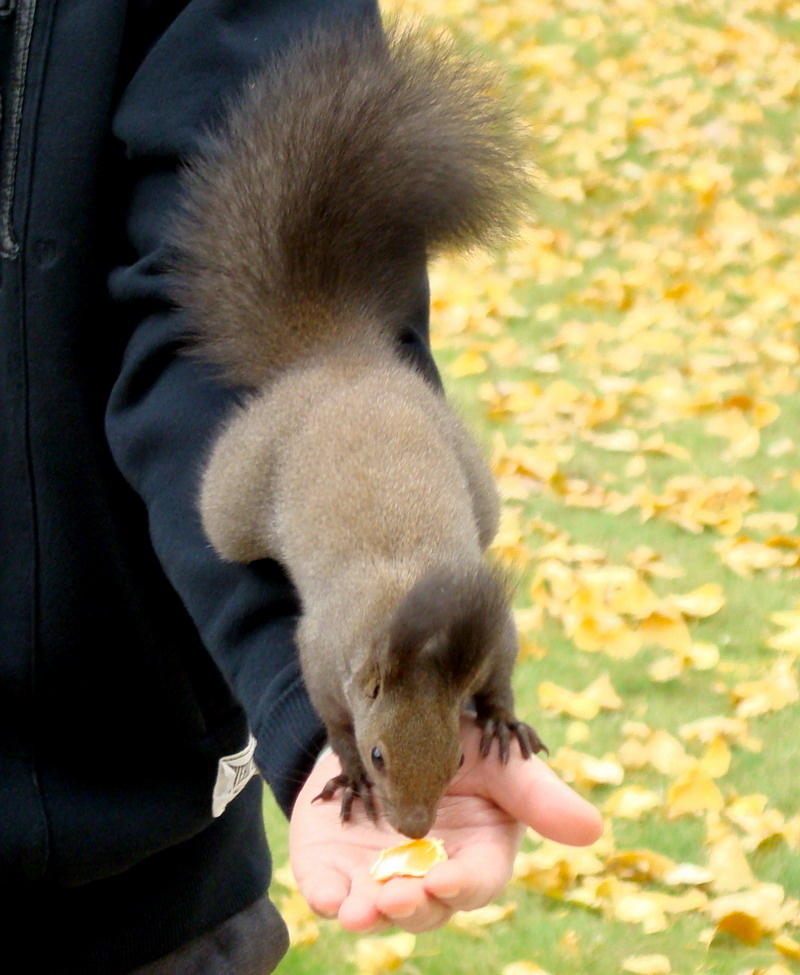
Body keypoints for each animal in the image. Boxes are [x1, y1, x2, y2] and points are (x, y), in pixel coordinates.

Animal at [171, 15, 548, 840]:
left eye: (456, 757)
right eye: (380, 755)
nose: (413, 826)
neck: (411, 599)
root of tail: (340, 354)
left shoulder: (492, 627)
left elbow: (502, 667)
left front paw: (502, 715)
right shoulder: (319, 651)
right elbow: (330, 714)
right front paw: (342, 770)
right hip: (235, 499)